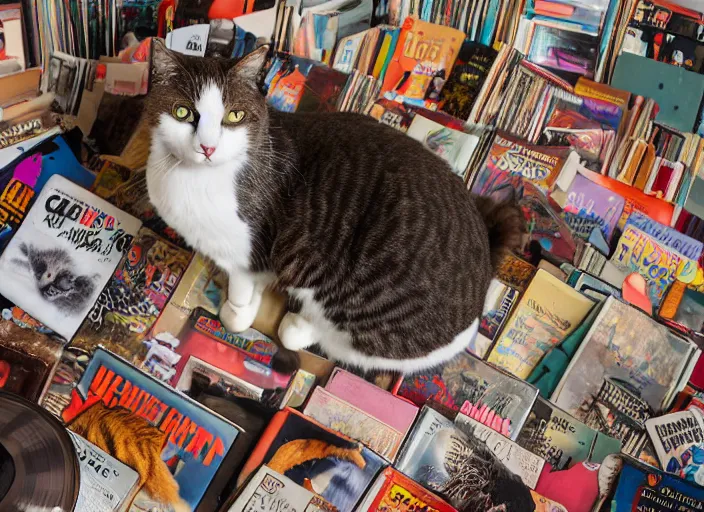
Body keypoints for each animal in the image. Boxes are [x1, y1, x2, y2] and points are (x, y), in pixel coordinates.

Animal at [146, 40, 524, 374]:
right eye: (183, 112)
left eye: (234, 116)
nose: (207, 147)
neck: (196, 178)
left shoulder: (249, 247)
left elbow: (241, 284)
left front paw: (236, 313)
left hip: (353, 303)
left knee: (342, 337)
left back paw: (298, 326)